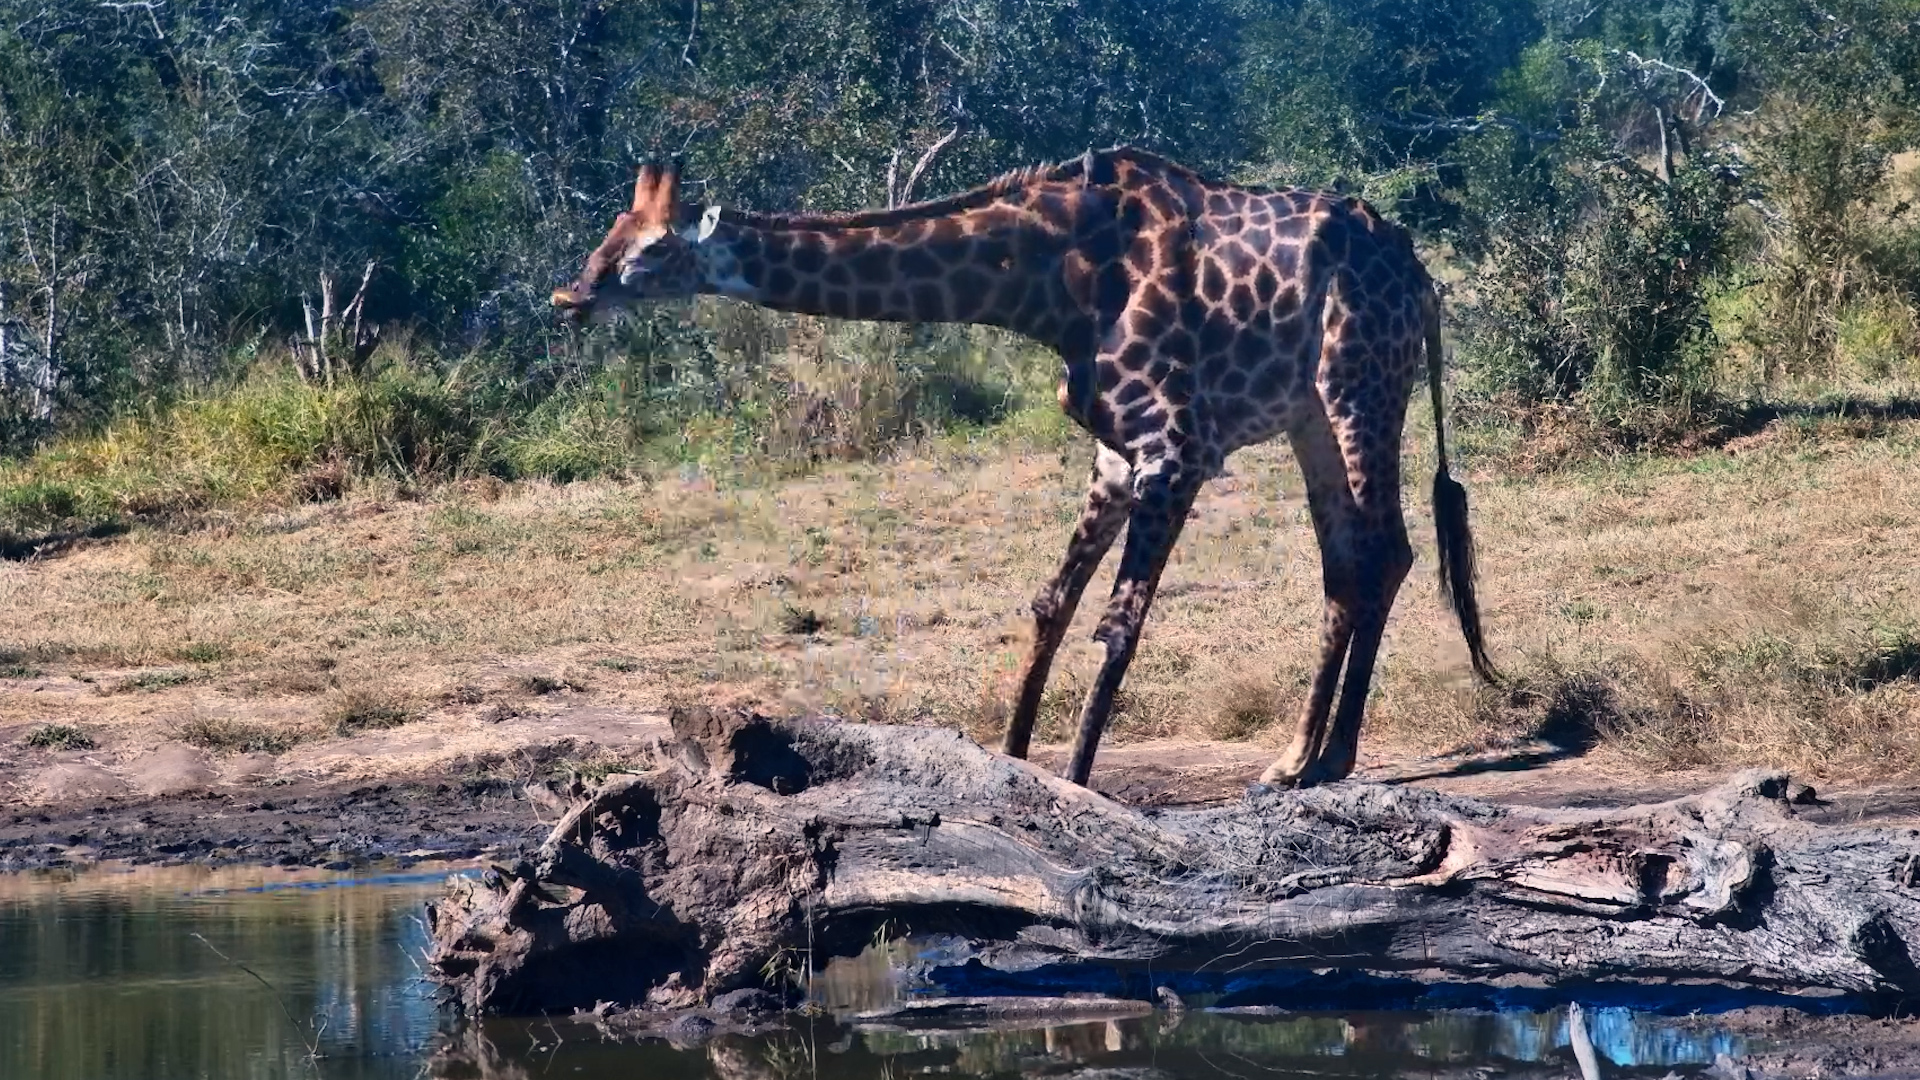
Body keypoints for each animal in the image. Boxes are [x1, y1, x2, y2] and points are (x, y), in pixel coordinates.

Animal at [552, 149, 1499, 789]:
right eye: (606, 235)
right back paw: (1298, 760)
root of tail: (1424, 281)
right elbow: (1051, 605)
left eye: (648, 253)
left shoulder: (1176, 449)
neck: (1051, 283)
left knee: (1381, 553)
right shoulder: (1114, 453)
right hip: (1312, 415)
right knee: (1353, 560)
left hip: (1361, 388)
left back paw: (1330, 757)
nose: (570, 297)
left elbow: (1119, 624)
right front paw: (1017, 772)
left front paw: (1078, 784)